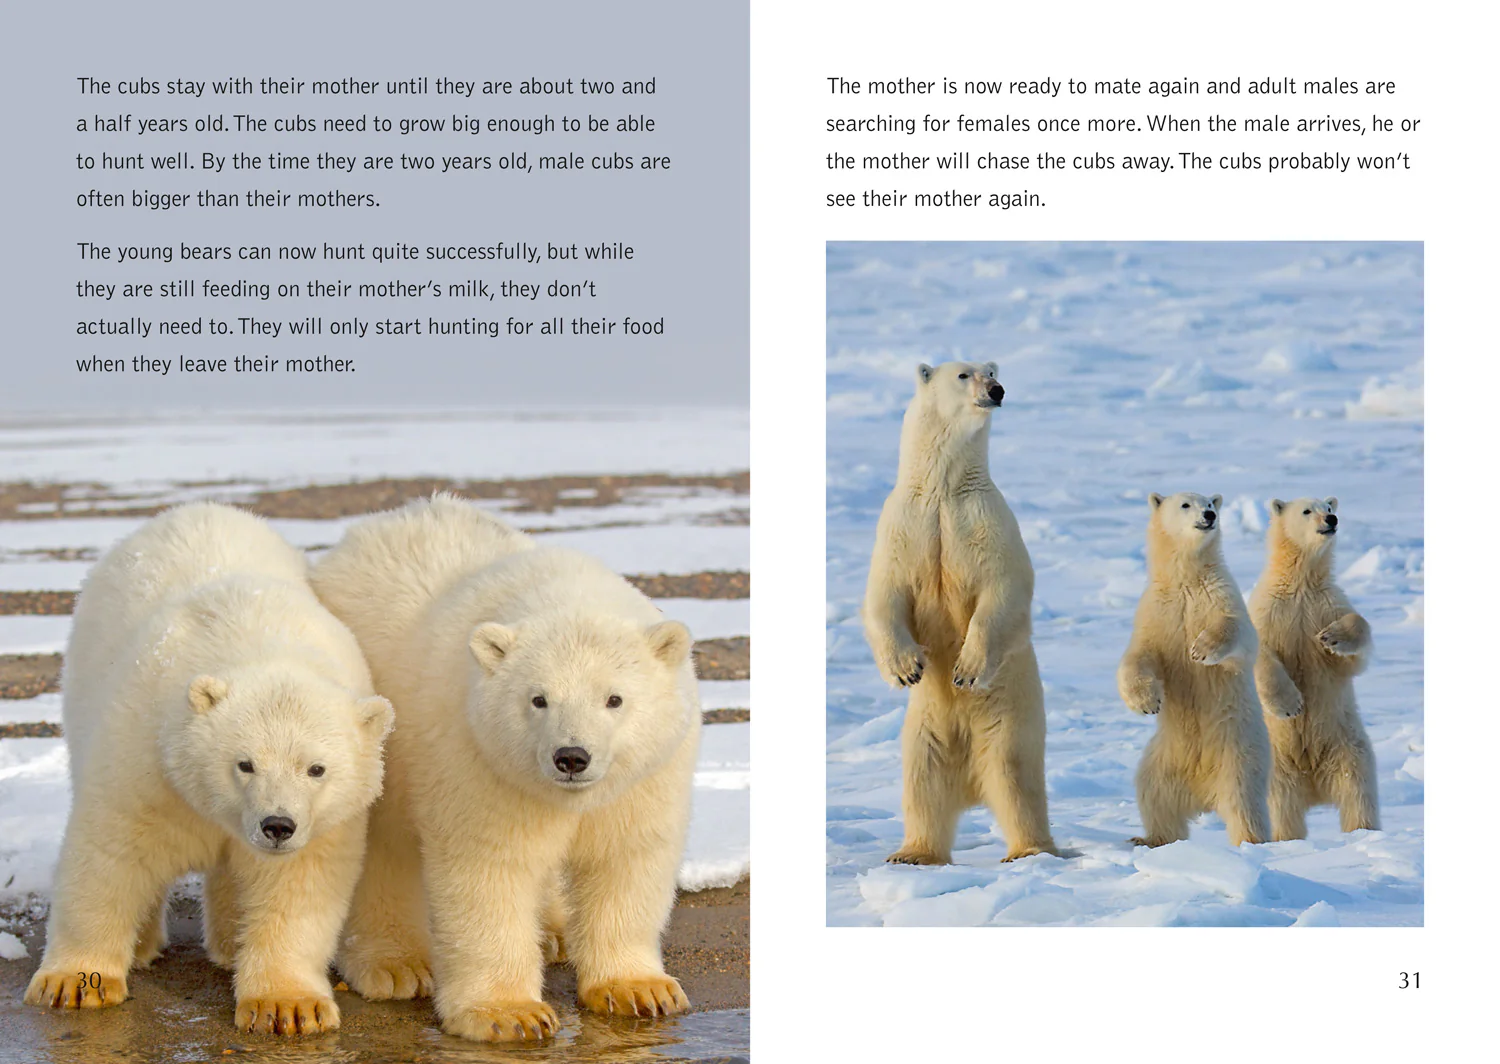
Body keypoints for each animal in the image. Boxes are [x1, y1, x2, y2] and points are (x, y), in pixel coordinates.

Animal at [23, 503, 393, 1036]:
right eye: (245, 763)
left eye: (316, 769)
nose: (276, 825)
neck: (260, 641)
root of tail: (192, 509)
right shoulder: (149, 763)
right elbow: (110, 854)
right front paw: (74, 983)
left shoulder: (323, 825)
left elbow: (297, 886)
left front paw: (288, 1006)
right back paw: (144, 947)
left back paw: (227, 946)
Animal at [308, 494, 700, 1044]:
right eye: (538, 699)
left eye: (614, 698)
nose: (571, 757)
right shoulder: (479, 763)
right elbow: (490, 870)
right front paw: (510, 1013)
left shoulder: (645, 779)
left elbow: (626, 857)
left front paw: (641, 990)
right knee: (385, 847)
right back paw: (395, 965)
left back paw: (554, 933)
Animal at [862, 361, 1056, 866]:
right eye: (964, 374)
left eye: (992, 370)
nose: (997, 390)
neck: (943, 488)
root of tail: (970, 786)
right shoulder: (904, 522)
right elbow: (884, 594)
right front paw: (906, 668)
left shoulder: (986, 521)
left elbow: (1002, 590)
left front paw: (966, 669)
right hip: (925, 730)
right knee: (922, 783)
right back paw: (913, 853)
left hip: (1009, 716)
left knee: (1013, 777)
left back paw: (1028, 850)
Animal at [1117, 492, 1271, 847]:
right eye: (1186, 505)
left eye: (1210, 503)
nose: (1209, 515)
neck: (1186, 578)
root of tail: (1203, 795)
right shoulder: (1157, 610)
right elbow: (1140, 655)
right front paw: (1147, 702)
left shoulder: (1220, 594)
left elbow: (1240, 635)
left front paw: (1201, 649)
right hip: (1164, 759)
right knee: (1154, 794)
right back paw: (1148, 839)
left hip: (1240, 753)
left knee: (1243, 803)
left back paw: (1250, 842)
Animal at [1249, 497, 1379, 839]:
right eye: (1307, 511)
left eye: (1329, 506)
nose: (1331, 520)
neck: (1301, 582)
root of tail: (1314, 786)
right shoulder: (1270, 609)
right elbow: (1259, 653)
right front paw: (1291, 704)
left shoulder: (1326, 604)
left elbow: (1354, 651)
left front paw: (1332, 637)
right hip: (1278, 764)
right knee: (1282, 808)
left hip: (1348, 747)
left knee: (1357, 792)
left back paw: (1362, 831)